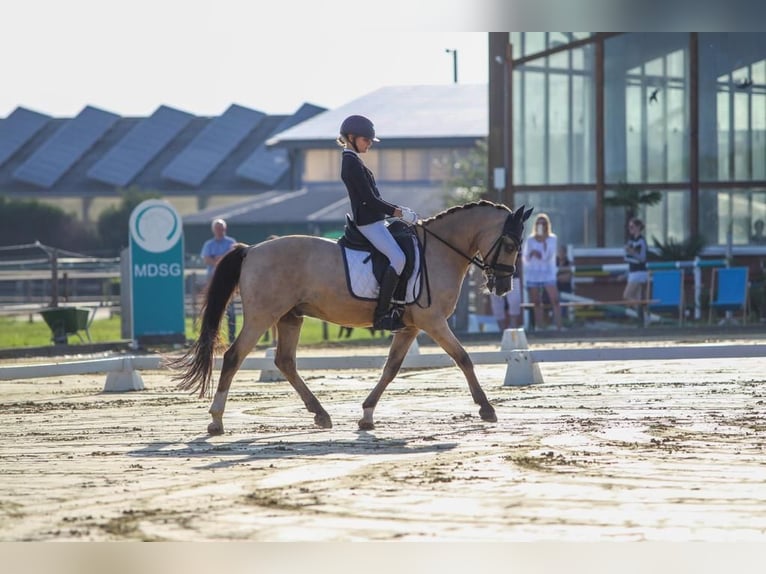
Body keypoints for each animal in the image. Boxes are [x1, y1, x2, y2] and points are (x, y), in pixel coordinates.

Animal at [174, 200, 536, 434]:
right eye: (509, 243)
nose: (503, 286)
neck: (439, 251)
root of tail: (250, 249)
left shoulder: (410, 327)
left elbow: (391, 368)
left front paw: (367, 415)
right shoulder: (433, 322)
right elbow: (463, 358)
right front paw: (486, 408)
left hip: (290, 317)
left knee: (285, 362)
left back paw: (320, 414)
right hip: (263, 316)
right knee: (234, 357)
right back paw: (216, 420)